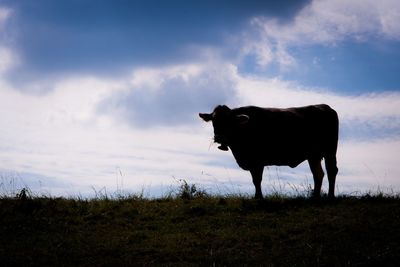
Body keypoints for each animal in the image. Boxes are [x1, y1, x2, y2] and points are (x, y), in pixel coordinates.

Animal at [199, 104, 338, 199]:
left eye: (228, 121)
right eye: (213, 121)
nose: (219, 138)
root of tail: (325, 106)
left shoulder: (257, 161)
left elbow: (257, 180)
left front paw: (258, 197)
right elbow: (255, 180)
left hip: (330, 151)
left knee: (331, 171)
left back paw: (330, 196)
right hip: (314, 155)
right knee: (318, 174)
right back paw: (315, 196)